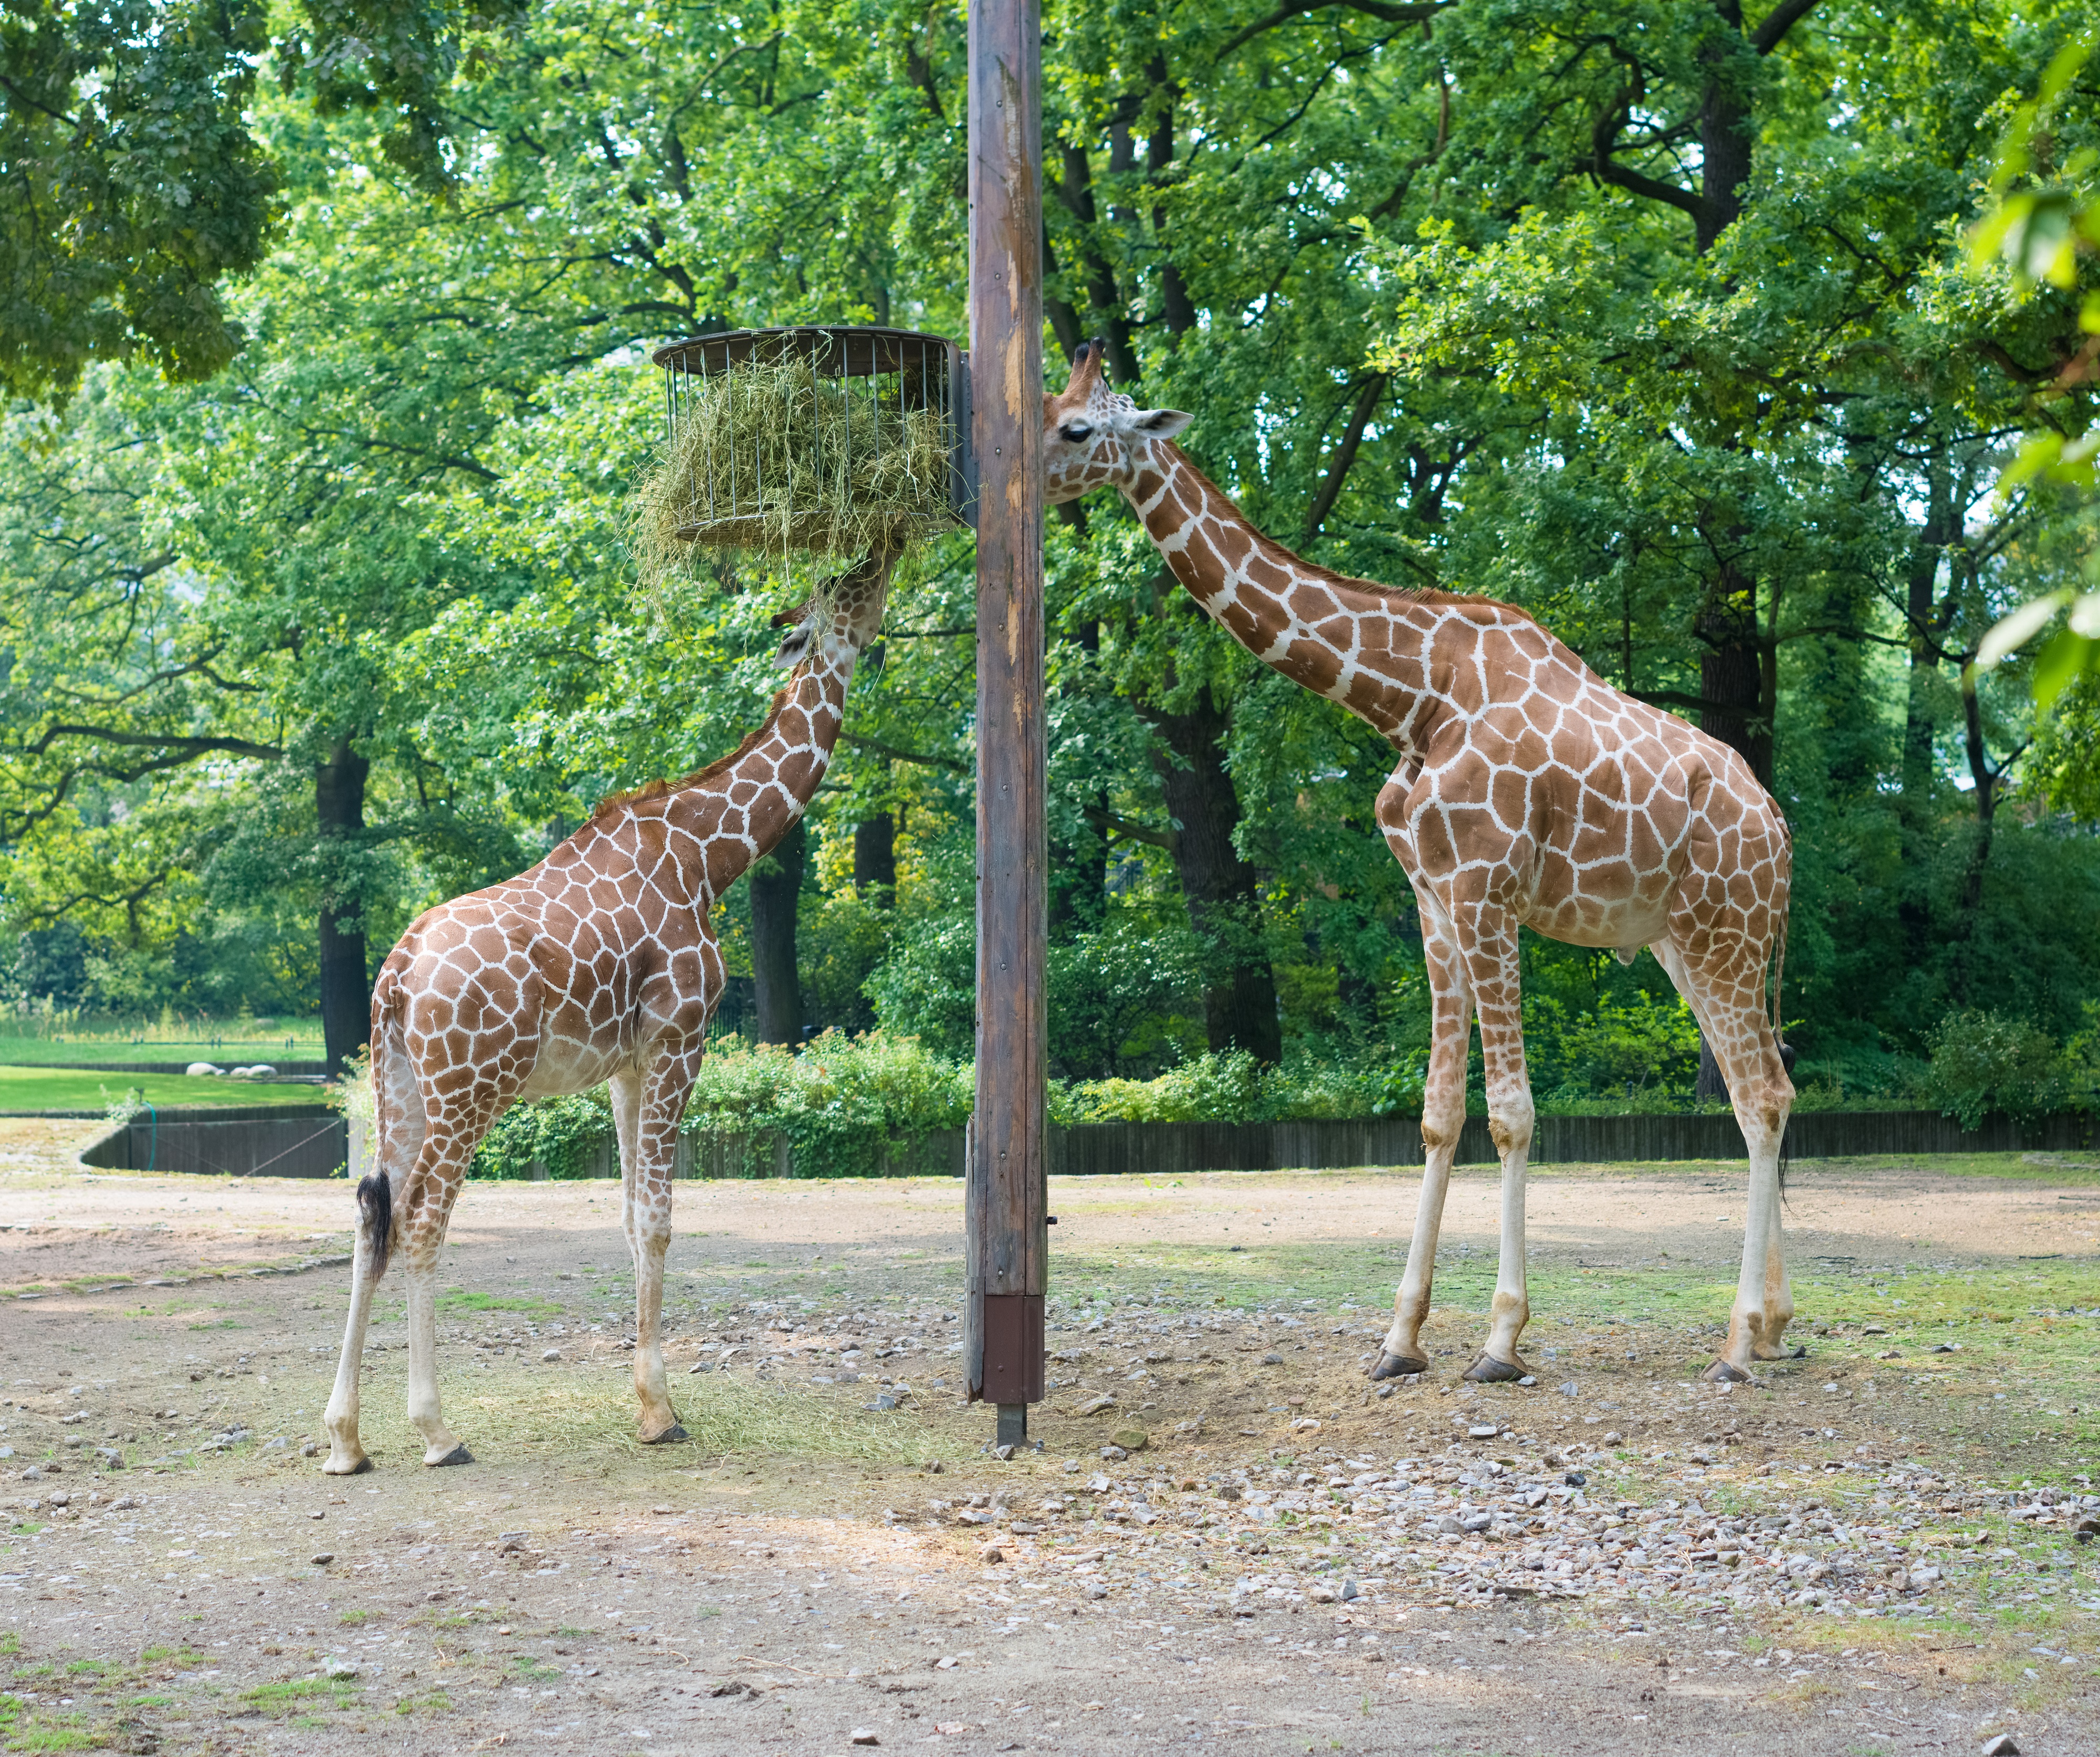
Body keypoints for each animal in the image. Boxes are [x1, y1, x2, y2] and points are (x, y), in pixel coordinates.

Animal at [321, 547, 898, 1473]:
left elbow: (630, 1220)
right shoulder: (680, 1039)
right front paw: (661, 1411)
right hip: (472, 1088)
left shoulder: (626, 1067)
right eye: (847, 587)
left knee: (372, 1216)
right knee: (421, 1221)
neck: (711, 854)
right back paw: (438, 1431)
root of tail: (398, 975)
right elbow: (659, 1221)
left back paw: (345, 1439)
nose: (885, 555)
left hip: (398, 1086)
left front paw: (648, 1401)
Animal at [1042, 342, 1796, 1385]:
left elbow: (1512, 1111)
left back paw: (1735, 1343)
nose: (1006, 475)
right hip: (1688, 942)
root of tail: (1778, 826)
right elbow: (1441, 1112)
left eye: (1077, 428)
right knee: (1765, 1088)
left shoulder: (1488, 892)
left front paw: (1501, 1339)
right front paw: (1400, 1338)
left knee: (1762, 1096)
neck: (1408, 698)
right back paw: (1772, 1326)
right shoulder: (1433, 900)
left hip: (1727, 933)